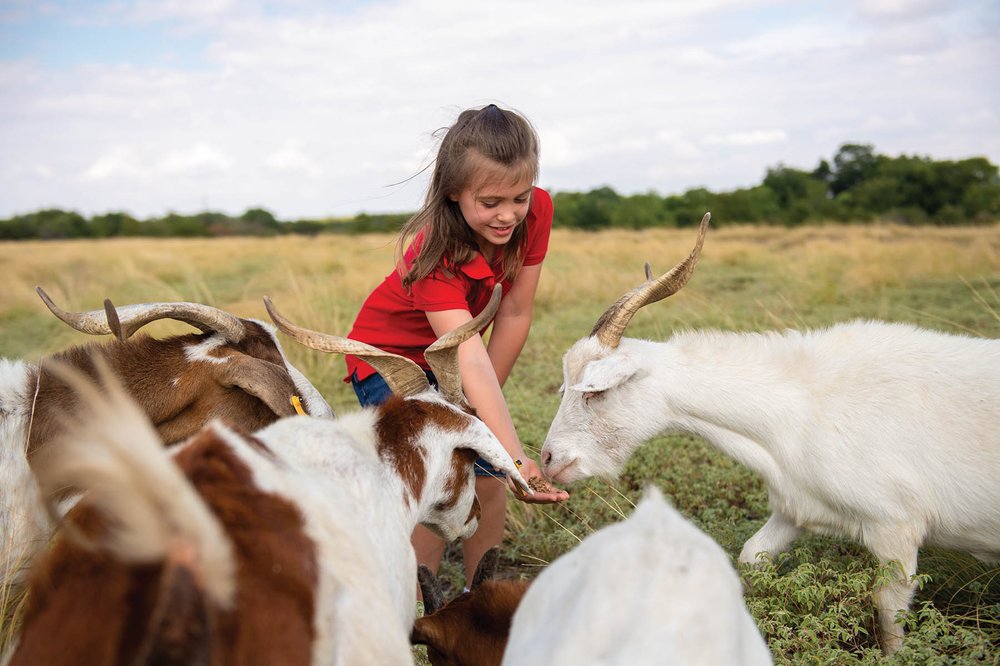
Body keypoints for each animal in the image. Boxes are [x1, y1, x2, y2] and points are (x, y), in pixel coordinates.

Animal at [540, 212, 1000, 654]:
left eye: (596, 391)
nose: (548, 460)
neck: (805, 406)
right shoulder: (795, 510)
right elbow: (749, 557)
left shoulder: (897, 528)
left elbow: (889, 613)